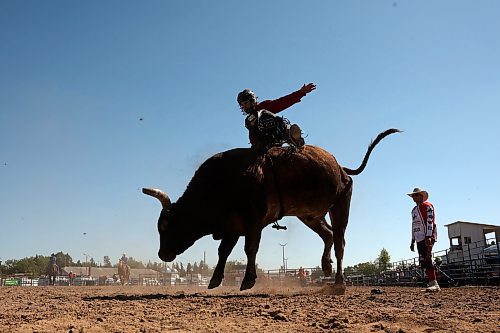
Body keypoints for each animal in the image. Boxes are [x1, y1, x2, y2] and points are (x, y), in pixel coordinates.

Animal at [144, 128, 398, 292]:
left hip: (340, 206)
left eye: (166, 226)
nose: (162, 254)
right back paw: (326, 267)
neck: (224, 180)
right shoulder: (232, 225)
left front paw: (248, 280)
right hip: (310, 215)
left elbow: (250, 249)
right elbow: (223, 251)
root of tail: (341, 168)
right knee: (327, 235)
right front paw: (215, 280)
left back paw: (339, 281)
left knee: (339, 241)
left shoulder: (253, 221)